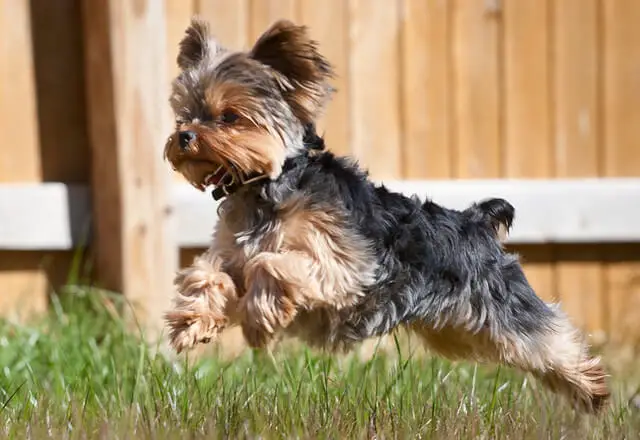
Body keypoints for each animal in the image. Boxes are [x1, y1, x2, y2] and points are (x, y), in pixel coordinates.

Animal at [161, 18, 608, 416]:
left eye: (229, 117)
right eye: (185, 113)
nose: (183, 135)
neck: (266, 184)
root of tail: (476, 222)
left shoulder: (345, 267)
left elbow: (272, 264)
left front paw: (261, 313)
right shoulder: (232, 254)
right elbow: (209, 272)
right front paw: (191, 321)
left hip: (502, 301)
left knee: (545, 336)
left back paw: (593, 387)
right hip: (459, 330)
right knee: (523, 352)